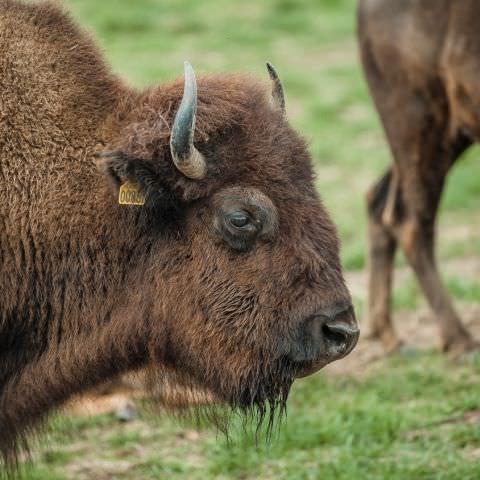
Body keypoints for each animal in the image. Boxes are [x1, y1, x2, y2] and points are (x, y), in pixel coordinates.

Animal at [358, 0, 478, 356]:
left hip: (448, 133)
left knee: (379, 197)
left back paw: (384, 332)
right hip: (420, 124)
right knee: (409, 219)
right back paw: (459, 339)